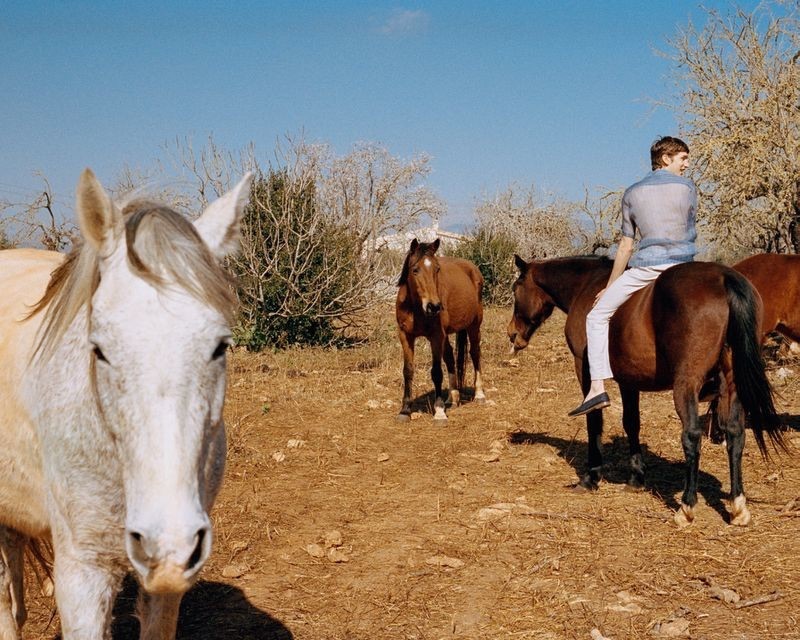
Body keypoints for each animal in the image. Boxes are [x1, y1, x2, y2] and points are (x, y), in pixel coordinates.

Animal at [396, 238, 484, 422]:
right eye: (415, 269)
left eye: (437, 269)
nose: (434, 306)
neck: (415, 308)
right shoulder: (405, 336)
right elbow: (408, 370)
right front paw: (405, 410)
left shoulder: (436, 336)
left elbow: (436, 372)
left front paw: (439, 412)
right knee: (450, 358)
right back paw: (453, 397)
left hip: (474, 325)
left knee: (475, 353)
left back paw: (480, 394)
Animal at [506, 255, 780, 524]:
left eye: (516, 288)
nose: (512, 334)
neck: (585, 285)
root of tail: (724, 278)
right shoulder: (630, 380)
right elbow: (631, 424)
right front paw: (636, 477)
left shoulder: (585, 370)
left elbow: (594, 419)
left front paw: (591, 477)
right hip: (732, 386)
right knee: (735, 434)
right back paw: (737, 506)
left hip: (687, 385)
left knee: (692, 435)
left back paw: (686, 507)